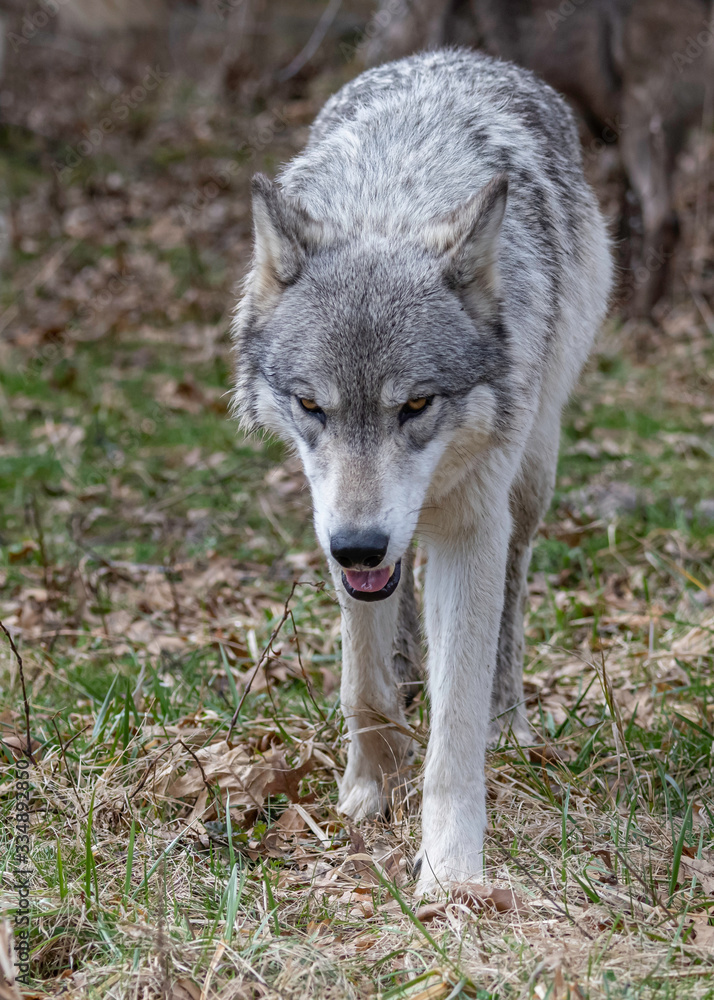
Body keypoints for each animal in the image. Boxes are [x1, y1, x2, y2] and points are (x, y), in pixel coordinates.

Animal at [231, 49, 613, 896]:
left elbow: (456, 722)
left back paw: (509, 724)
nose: (360, 546)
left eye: (416, 404)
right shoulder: (335, 519)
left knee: (510, 605)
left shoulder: (469, 525)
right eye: (312, 405)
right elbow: (362, 682)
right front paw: (370, 786)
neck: (391, 206)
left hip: (529, 477)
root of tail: (468, 57)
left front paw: (449, 870)